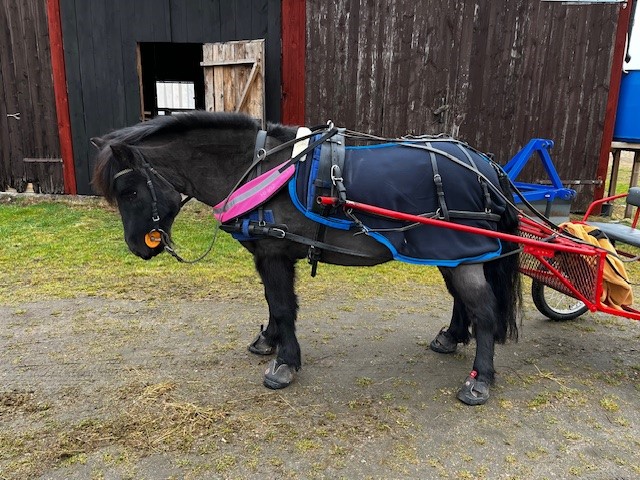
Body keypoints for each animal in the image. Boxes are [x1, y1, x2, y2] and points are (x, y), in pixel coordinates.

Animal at [91, 111, 521, 406]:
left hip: (463, 250)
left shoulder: (274, 252)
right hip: (451, 252)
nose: (138, 246)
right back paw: (451, 337)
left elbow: (282, 306)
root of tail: (484, 164)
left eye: (130, 191)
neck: (262, 168)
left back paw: (480, 378)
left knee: (484, 310)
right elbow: (272, 303)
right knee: (461, 300)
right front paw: (269, 341)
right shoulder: (270, 255)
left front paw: (285, 362)